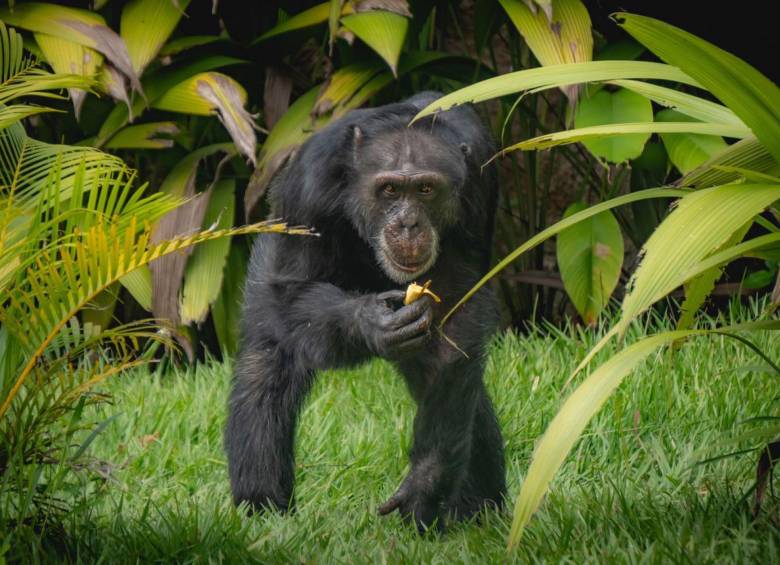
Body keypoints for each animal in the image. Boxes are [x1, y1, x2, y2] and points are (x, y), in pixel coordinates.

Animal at [225, 90, 506, 532]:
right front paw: (368, 323)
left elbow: (455, 325)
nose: (408, 223)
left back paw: (478, 510)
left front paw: (427, 479)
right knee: (266, 360)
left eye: (425, 189)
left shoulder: (478, 183)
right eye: (390, 189)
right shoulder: (308, 183)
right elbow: (293, 288)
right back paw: (262, 504)